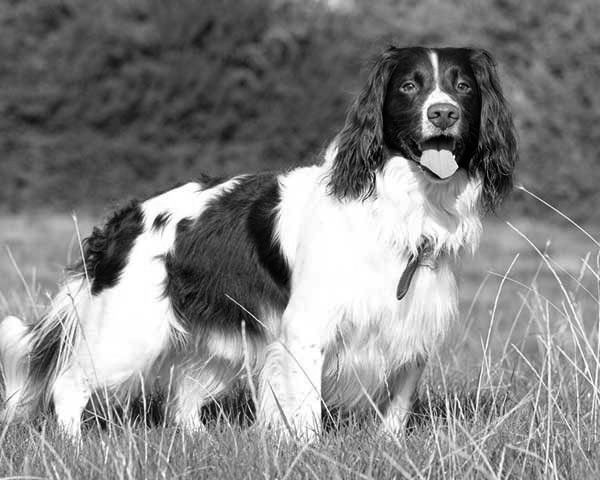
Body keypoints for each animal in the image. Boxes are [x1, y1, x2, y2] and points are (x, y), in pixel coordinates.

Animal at [0, 46, 516, 438]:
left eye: (463, 87)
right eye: (409, 86)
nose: (443, 113)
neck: (401, 210)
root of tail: (123, 221)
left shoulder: (414, 331)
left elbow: (398, 407)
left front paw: (388, 448)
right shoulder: (307, 329)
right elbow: (305, 410)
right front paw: (308, 453)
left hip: (213, 342)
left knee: (183, 401)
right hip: (128, 335)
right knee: (68, 385)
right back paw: (74, 444)